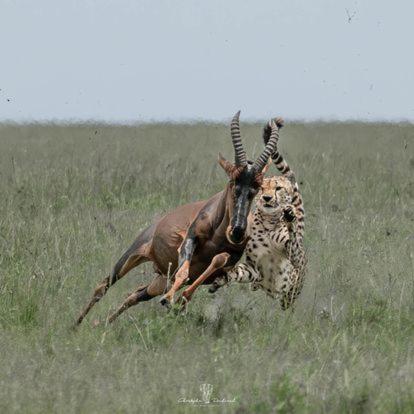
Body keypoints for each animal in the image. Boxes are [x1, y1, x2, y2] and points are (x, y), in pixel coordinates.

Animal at [75, 112, 282, 325]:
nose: (237, 231)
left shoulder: (226, 265)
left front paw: (178, 301)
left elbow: (217, 261)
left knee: (136, 294)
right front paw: (169, 300)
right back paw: (76, 325)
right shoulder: (189, 240)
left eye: (256, 188)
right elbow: (183, 272)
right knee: (102, 286)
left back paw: (104, 323)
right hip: (133, 255)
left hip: (160, 280)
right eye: (233, 181)